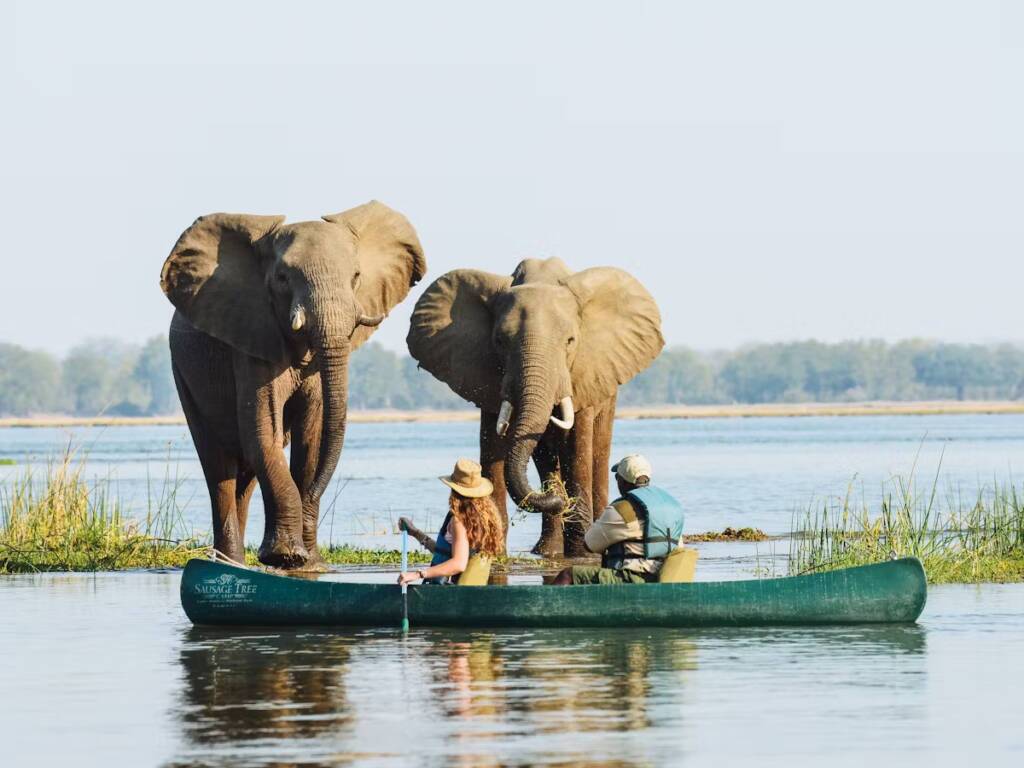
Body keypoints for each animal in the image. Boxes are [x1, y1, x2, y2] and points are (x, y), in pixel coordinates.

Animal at [160, 201, 425, 568]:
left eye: (356, 277)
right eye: (283, 278)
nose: (309, 508)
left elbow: (311, 438)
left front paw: (309, 563)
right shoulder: (252, 339)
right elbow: (264, 434)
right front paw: (287, 556)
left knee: (245, 471)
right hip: (184, 375)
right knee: (219, 464)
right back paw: (230, 563)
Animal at [407, 257, 662, 557]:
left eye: (570, 341)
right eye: (500, 341)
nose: (554, 497)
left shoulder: (583, 373)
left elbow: (577, 444)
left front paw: (582, 554)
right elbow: (493, 444)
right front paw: (494, 552)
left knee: (598, 449)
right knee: (545, 457)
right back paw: (547, 550)